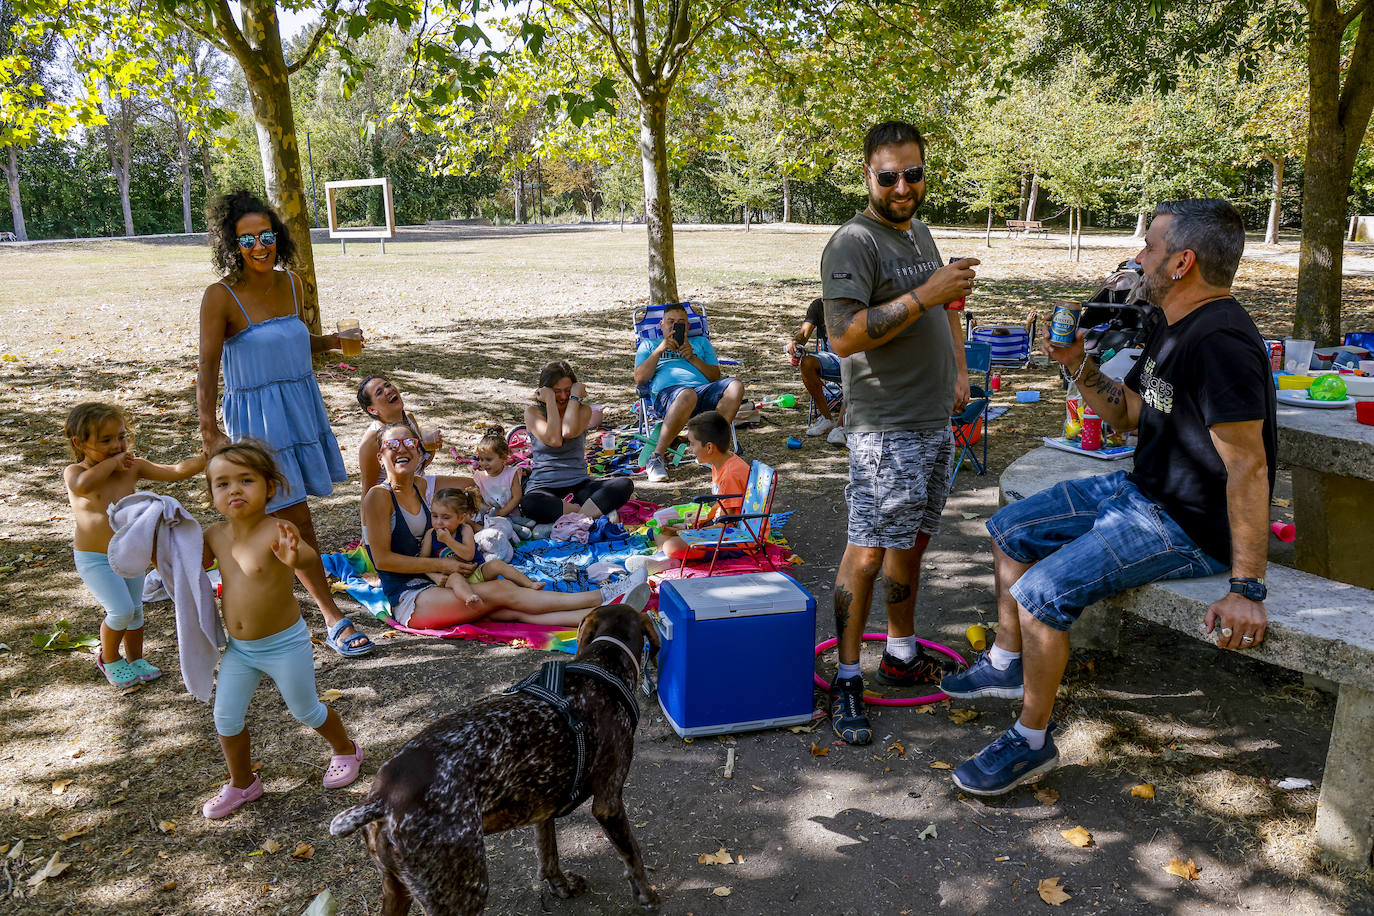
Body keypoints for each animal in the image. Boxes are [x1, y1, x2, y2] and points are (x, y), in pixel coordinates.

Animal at [327, 609, 659, 916]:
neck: (603, 662)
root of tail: (381, 800)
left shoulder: (543, 806)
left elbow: (548, 854)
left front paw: (559, 884)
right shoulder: (608, 803)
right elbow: (633, 855)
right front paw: (647, 895)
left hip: (396, 889)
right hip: (464, 891)